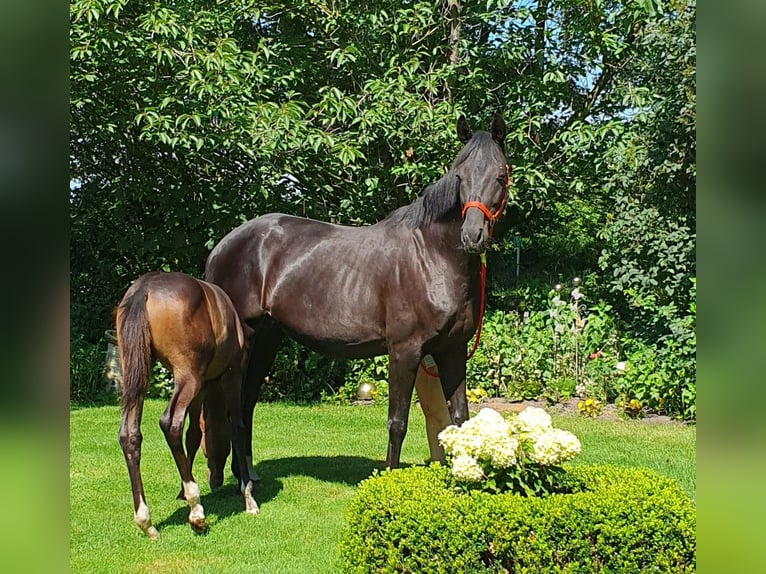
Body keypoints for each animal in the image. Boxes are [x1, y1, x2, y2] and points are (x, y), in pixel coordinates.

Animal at [117, 272, 260, 540]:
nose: (215, 478)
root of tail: (144, 289)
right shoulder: (231, 376)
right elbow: (237, 426)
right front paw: (247, 495)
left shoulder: (202, 388)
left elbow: (193, 434)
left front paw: (182, 491)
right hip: (187, 376)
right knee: (171, 424)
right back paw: (196, 509)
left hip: (139, 375)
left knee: (129, 435)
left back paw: (146, 520)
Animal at [204, 116, 510, 472]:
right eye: (459, 175)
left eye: (499, 176)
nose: (472, 235)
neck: (432, 256)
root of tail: (221, 247)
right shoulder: (404, 351)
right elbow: (398, 422)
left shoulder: (452, 350)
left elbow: (459, 419)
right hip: (246, 341)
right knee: (234, 409)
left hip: (267, 337)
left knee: (246, 403)